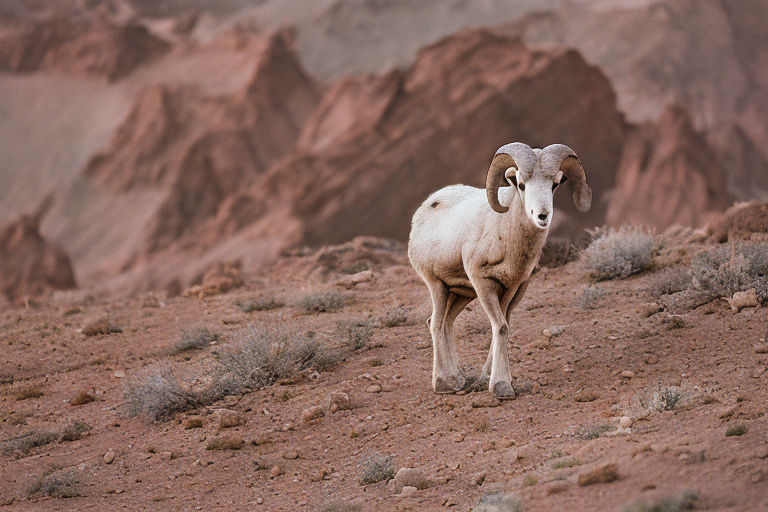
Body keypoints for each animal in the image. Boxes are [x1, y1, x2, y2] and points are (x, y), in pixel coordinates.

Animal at [408, 142, 592, 398]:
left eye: (554, 184)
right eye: (521, 184)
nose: (542, 216)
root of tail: (426, 207)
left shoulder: (510, 288)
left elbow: (503, 326)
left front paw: (489, 377)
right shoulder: (484, 284)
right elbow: (501, 327)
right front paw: (502, 386)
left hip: (460, 293)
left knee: (446, 323)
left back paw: (458, 379)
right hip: (437, 286)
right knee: (435, 323)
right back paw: (444, 383)